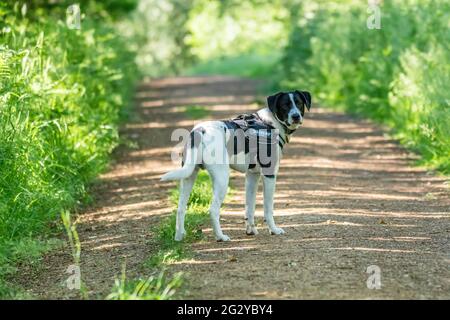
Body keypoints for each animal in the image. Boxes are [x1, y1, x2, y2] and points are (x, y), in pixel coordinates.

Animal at [162, 91, 312, 241]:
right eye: (285, 105)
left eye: (299, 103)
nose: (296, 116)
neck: (270, 123)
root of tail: (200, 131)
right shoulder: (269, 175)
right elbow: (268, 209)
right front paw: (274, 230)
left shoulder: (252, 176)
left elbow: (249, 207)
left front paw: (251, 230)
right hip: (222, 179)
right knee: (213, 209)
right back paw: (220, 236)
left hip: (189, 177)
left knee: (180, 208)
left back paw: (179, 237)